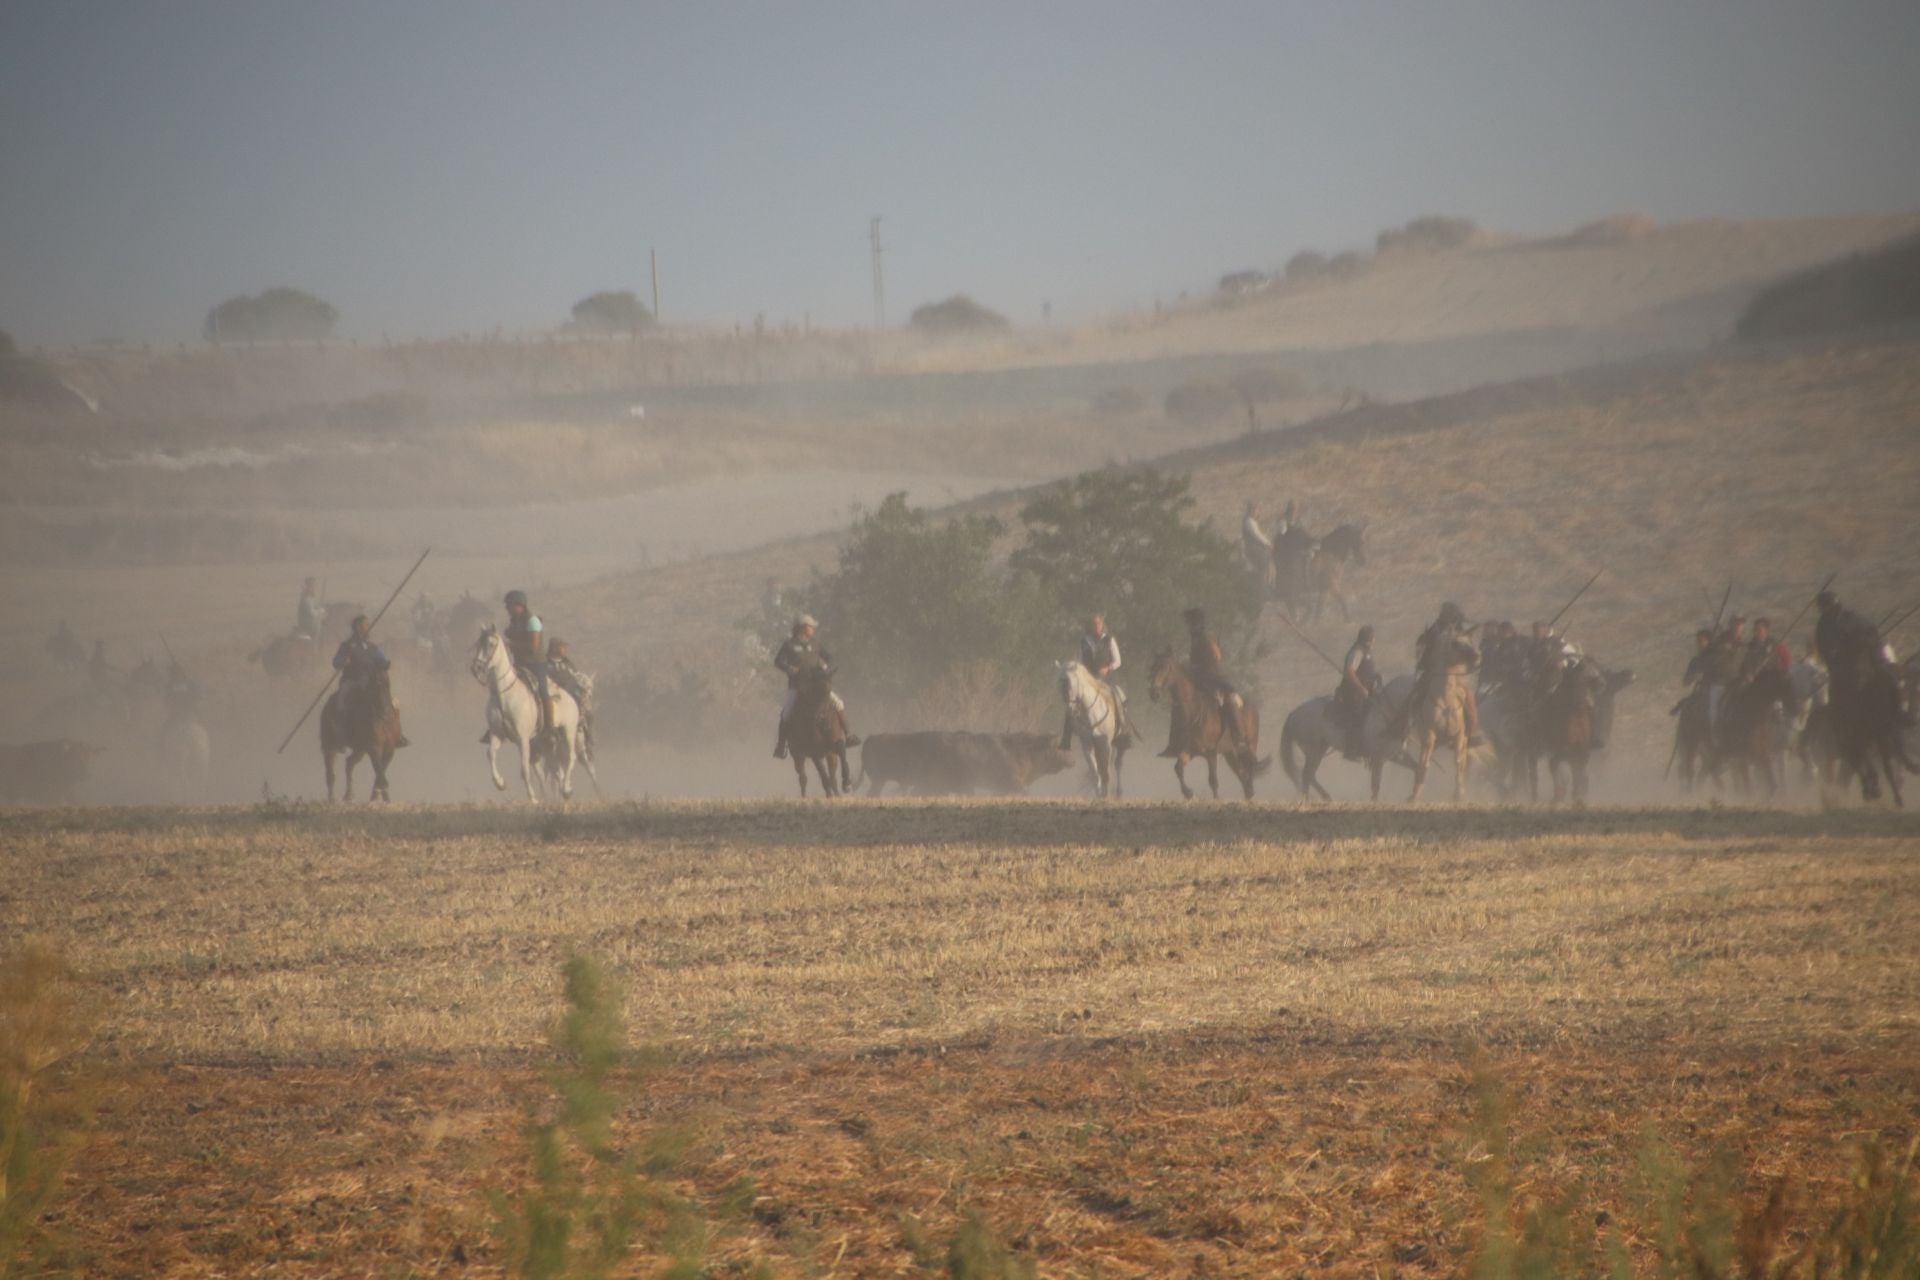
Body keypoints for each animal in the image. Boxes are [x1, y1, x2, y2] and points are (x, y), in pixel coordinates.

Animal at [320, 671, 407, 802]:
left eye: (387, 684)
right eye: (374, 686)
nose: (384, 712)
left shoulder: (389, 749)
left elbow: (380, 773)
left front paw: (379, 799)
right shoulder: (374, 747)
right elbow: (380, 773)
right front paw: (381, 798)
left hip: (360, 750)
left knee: (349, 763)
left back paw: (348, 796)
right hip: (330, 747)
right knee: (330, 774)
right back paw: (332, 799)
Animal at [470, 629, 579, 802]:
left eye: (491, 644)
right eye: (478, 644)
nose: (476, 667)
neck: (504, 695)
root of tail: (569, 696)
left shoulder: (523, 739)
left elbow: (524, 769)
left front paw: (533, 799)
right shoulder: (497, 734)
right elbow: (491, 754)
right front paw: (500, 783)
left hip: (568, 732)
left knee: (570, 758)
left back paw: (566, 790)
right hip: (543, 742)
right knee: (552, 769)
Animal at [1059, 660, 1128, 802]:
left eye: (1071, 682)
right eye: (1059, 683)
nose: (1071, 710)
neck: (1091, 713)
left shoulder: (1105, 744)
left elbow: (1106, 772)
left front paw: (1106, 796)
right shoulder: (1087, 745)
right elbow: (1096, 773)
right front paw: (1099, 794)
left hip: (1118, 743)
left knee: (1117, 764)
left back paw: (1118, 792)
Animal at [1144, 652, 1267, 802]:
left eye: (1165, 667)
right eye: (1153, 667)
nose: (1154, 694)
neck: (1191, 712)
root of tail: (1252, 706)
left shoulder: (1211, 752)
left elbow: (1213, 781)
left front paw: (1216, 800)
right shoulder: (1190, 750)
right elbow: (1178, 768)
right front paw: (1188, 793)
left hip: (1250, 744)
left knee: (1250, 766)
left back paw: (1250, 790)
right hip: (1230, 752)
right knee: (1241, 771)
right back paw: (1248, 793)